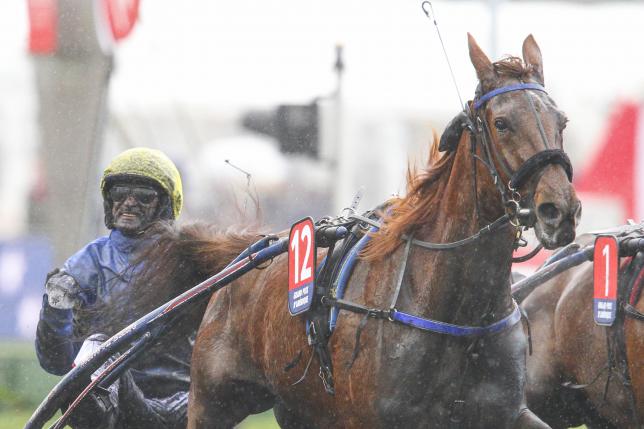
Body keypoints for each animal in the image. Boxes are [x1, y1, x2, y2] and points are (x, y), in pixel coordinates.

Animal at [177, 34, 584, 428]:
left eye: (562, 122)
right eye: (502, 123)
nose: (559, 210)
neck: (455, 310)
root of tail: (251, 251)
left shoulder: (507, 410)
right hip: (213, 402)